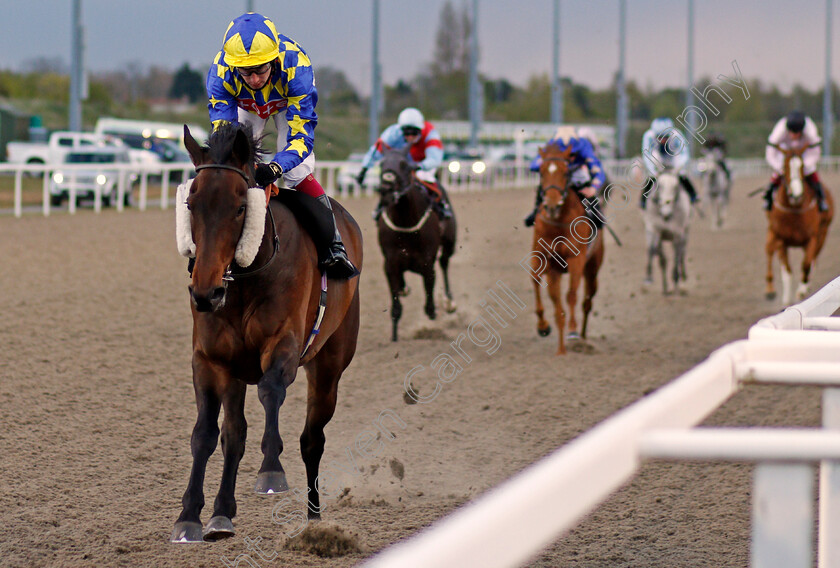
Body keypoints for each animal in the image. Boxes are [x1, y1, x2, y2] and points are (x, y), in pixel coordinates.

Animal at [171, 123, 364, 540]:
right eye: (191, 204)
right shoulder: (210, 360)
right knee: (234, 434)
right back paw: (222, 513)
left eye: (240, 207)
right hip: (236, 372)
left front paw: (271, 471)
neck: (243, 281)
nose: (205, 292)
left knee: (312, 440)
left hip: (329, 365)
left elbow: (271, 390)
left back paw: (314, 521)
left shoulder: (283, 345)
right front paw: (191, 516)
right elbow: (206, 434)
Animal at [378, 146, 460, 342]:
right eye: (382, 163)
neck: (405, 222)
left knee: (444, 263)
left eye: (404, 164)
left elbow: (429, 300)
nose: (386, 189)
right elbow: (396, 307)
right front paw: (394, 337)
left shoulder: (426, 261)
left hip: (449, 243)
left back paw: (449, 301)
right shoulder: (390, 262)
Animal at [532, 143, 604, 356]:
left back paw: (582, 337)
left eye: (566, 172)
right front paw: (554, 340)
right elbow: (552, 299)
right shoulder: (547, 262)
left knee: (587, 302)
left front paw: (572, 330)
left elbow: (571, 295)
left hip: (593, 268)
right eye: (541, 172)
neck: (558, 224)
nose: (552, 204)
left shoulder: (576, 260)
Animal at [764, 144, 832, 304]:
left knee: (813, 259)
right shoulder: (781, 239)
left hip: (822, 234)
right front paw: (786, 299)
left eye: (802, 166)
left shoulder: (812, 238)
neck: (794, 210)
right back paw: (770, 289)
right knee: (769, 251)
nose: (796, 195)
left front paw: (801, 291)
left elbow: (806, 264)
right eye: (784, 166)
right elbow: (787, 269)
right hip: (772, 233)